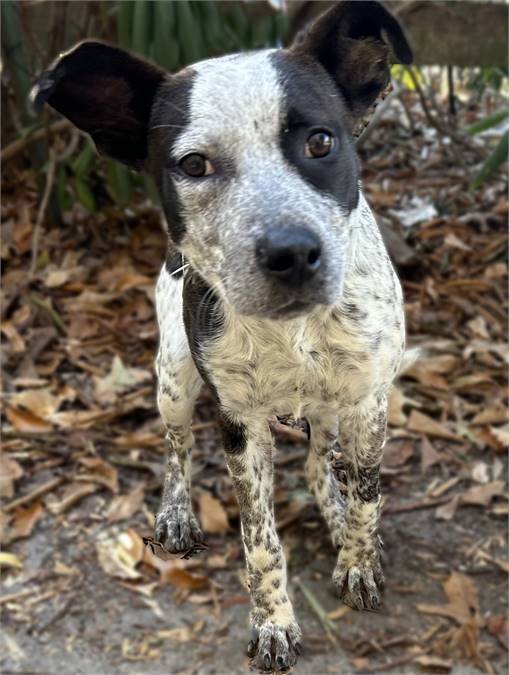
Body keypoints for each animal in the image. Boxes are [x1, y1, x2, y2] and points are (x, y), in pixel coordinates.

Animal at [31, 2, 410, 672]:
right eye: (193, 165)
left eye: (320, 142)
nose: (292, 254)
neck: (293, 331)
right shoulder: (239, 422)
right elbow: (259, 539)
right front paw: (273, 624)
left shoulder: (369, 399)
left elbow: (365, 494)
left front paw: (357, 559)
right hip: (175, 380)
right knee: (176, 447)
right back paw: (177, 512)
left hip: (331, 404)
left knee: (318, 462)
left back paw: (333, 514)